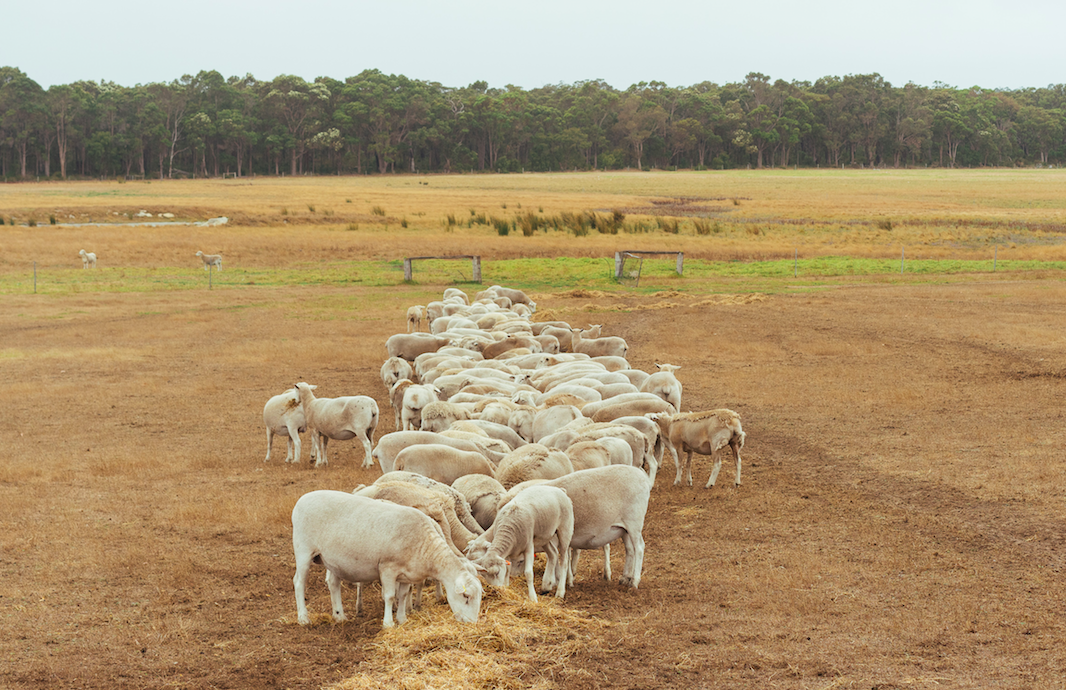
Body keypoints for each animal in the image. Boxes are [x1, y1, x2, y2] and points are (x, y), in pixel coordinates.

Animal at [292, 490, 483, 628]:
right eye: (466, 596)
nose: (472, 623)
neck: (425, 547)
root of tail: (303, 498)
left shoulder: (407, 574)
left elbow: (403, 595)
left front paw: (402, 619)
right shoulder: (388, 568)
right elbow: (390, 596)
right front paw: (388, 623)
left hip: (332, 559)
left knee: (333, 583)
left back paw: (340, 616)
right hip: (303, 550)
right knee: (299, 582)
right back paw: (303, 618)